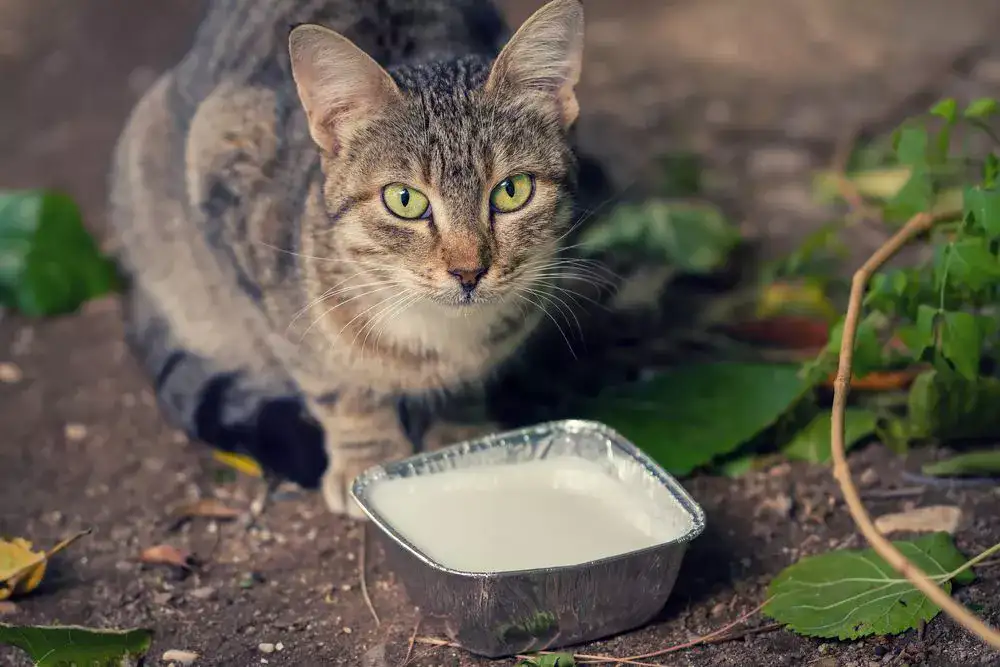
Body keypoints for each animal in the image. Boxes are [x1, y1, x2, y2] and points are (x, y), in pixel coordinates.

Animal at [107, 0, 592, 516]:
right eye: (404, 200)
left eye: (512, 191)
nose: (468, 271)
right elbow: (338, 387)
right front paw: (369, 454)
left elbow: (464, 387)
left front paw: (463, 441)